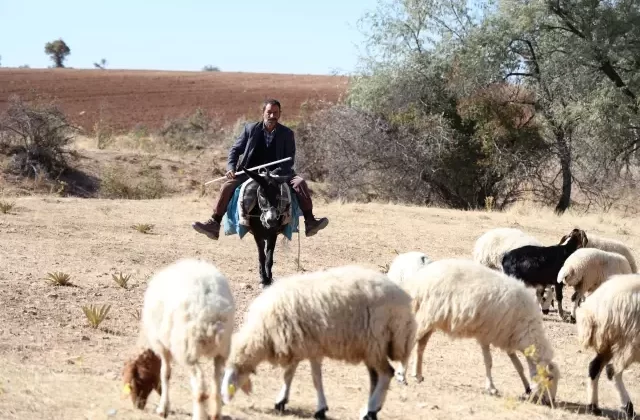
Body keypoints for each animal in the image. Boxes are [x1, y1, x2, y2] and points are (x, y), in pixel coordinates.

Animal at [122, 258, 235, 420]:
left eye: (134, 382)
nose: (138, 406)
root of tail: (211, 306)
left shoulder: (162, 346)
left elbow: (165, 374)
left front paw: (163, 408)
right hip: (222, 348)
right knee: (217, 382)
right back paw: (216, 413)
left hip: (187, 348)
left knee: (199, 384)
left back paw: (198, 415)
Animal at [220, 266, 418, 420]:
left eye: (231, 377)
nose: (222, 400)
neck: (263, 332)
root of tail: (404, 299)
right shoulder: (298, 344)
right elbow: (288, 375)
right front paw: (281, 401)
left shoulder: (312, 347)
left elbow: (315, 379)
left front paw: (321, 409)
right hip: (369, 348)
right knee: (375, 378)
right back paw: (371, 410)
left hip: (375, 342)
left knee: (386, 374)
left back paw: (370, 410)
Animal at [398, 258, 564, 406]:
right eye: (550, 378)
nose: (551, 401)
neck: (527, 330)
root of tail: (418, 281)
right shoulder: (486, 335)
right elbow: (489, 362)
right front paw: (491, 388)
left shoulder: (507, 338)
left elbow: (518, 366)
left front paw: (527, 387)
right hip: (427, 315)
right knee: (411, 343)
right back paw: (402, 377)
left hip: (430, 320)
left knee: (421, 346)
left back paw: (418, 375)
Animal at [576, 274, 640, 418]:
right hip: (628, 342)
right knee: (612, 371)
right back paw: (628, 408)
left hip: (610, 343)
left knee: (594, 366)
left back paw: (593, 407)